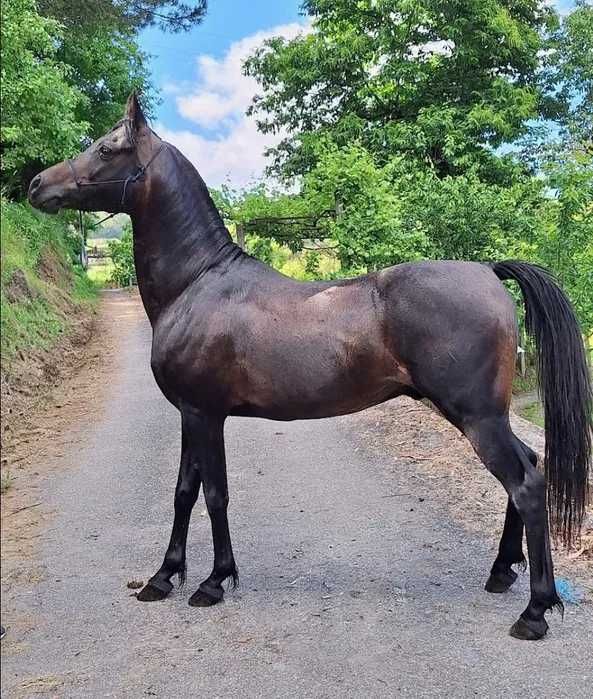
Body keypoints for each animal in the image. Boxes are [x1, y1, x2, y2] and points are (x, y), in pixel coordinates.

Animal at [28, 94, 591, 641]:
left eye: (107, 148)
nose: (37, 185)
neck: (197, 283)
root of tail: (488, 270)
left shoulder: (206, 415)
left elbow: (215, 494)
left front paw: (213, 581)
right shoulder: (190, 414)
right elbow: (184, 492)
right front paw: (164, 577)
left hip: (477, 418)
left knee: (526, 485)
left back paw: (535, 611)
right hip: (484, 416)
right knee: (528, 468)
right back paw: (501, 572)